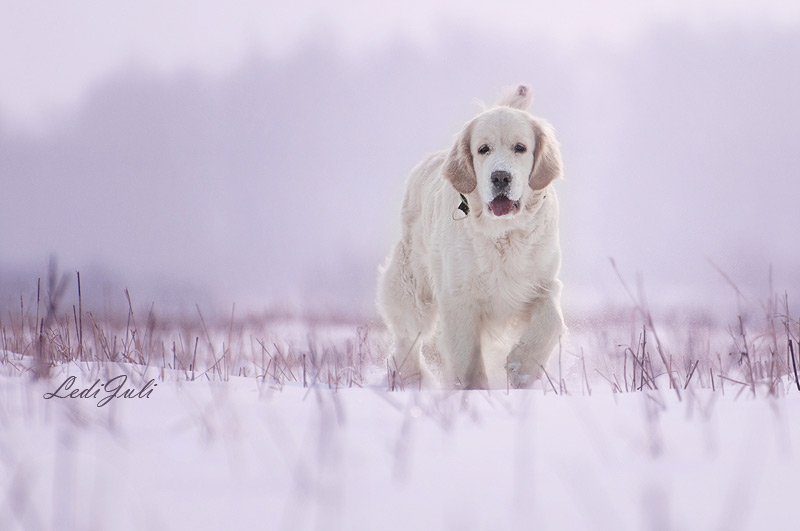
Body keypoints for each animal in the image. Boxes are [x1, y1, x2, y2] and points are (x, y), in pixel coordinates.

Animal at [378, 84, 564, 390]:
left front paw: (522, 367)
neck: (502, 235)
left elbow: (552, 321)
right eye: (483, 149)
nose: (500, 177)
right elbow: (466, 355)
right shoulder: (458, 296)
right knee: (408, 336)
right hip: (412, 285)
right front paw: (474, 391)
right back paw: (411, 378)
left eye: (520, 148)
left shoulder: (542, 284)